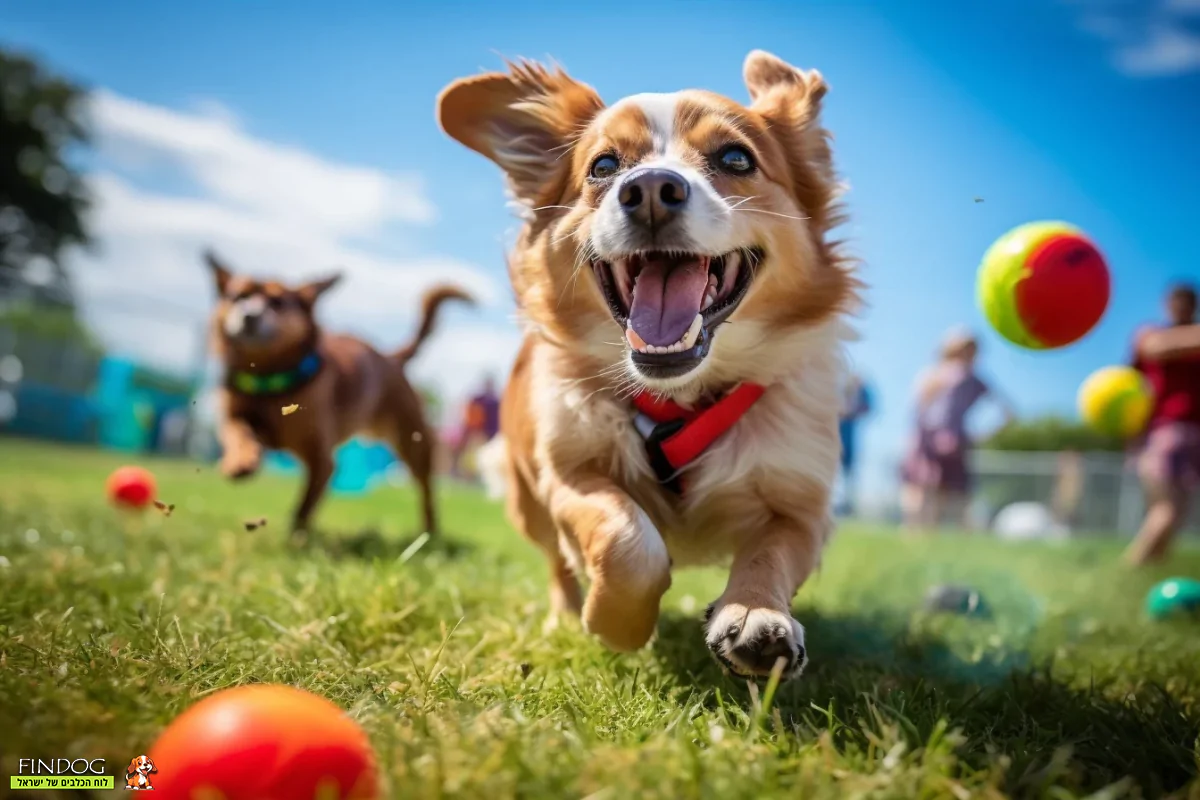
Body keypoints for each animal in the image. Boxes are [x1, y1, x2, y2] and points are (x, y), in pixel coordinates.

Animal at [204, 251, 470, 537]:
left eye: (278, 302)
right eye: (237, 296)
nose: (249, 315)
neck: (269, 381)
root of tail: (390, 357)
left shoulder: (322, 460)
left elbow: (304, 504)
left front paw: (297, 536)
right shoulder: (235, 415)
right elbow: (238, 432)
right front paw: (240, 460)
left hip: (414, 444)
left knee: (427, 491)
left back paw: (431, 533)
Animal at [436, 47, 859, 681]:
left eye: (736, 158)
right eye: (604, 166)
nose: (652, 188)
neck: (680, 397)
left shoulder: (801, 504)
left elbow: (771, 553)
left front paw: (756, 614)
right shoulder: (569, 475)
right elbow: (625, 539)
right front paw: (614, 621)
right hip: (528, 500)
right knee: (558, 561)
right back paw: (566, 614)